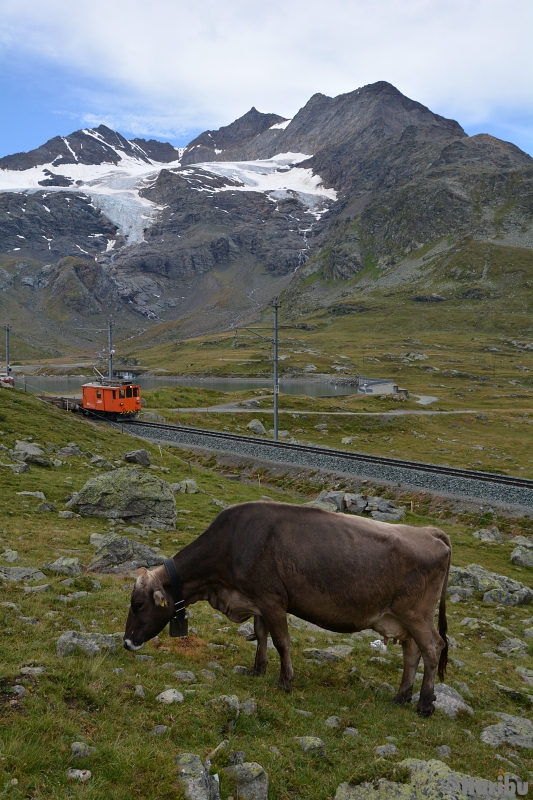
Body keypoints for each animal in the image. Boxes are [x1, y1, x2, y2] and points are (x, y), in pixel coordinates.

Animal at [123, 504, 448, 716]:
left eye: (138, 604)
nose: (126, 642)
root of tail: (431, 532)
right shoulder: (256, 601)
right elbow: (260, 634)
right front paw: (257, 669)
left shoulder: (272, 600)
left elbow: (281, 641)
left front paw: (285, 680)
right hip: (402, 619)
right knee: (412, 653)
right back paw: (401, 696)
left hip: (417, 614)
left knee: (433, 648)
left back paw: (425, 703)